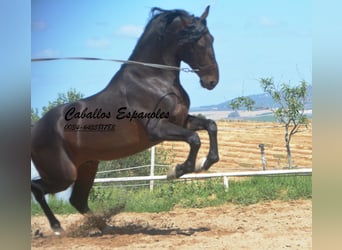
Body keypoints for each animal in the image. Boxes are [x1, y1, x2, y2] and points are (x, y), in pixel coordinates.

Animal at [31, 6, 219, 234]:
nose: (212, 81)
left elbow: (210, 126)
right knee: (37, 188)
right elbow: (194, 139)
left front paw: (206, 162)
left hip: (87, 167)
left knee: (77, 200)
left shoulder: (181, 121)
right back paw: (58, 227)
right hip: (63, 175)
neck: (152, 79)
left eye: (211, 38)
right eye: (196, 41)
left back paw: (104, 227)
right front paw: (177, 171)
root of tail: (34, 129)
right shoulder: (158, 129)